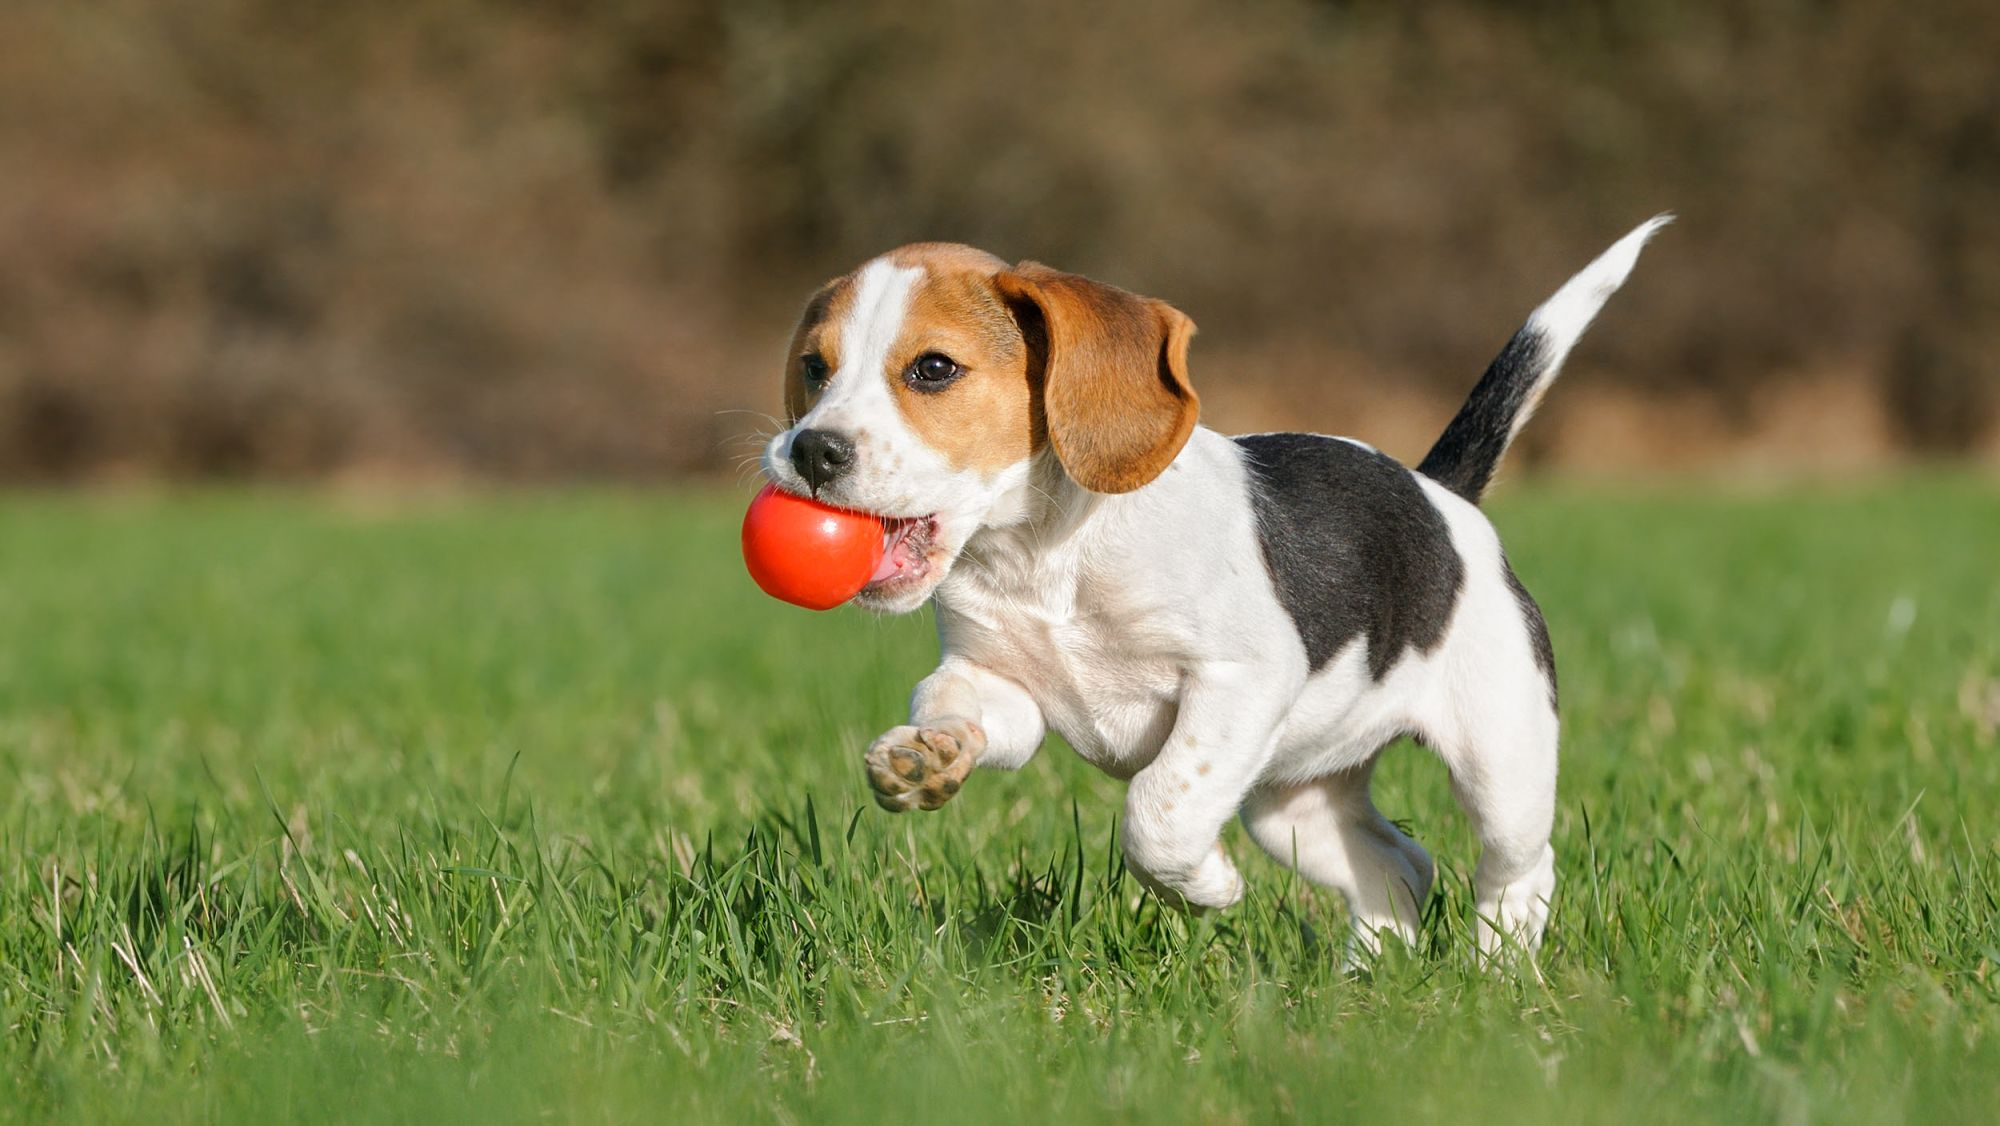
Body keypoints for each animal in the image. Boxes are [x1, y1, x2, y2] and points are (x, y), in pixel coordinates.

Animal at [756, 220, 1664, 960]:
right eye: (814, 367)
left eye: (934, 369)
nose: (810, 451)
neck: (1044, 556)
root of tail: (1440, 493)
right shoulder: (1000, 685)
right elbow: (955, 705)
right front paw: (926, 757)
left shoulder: (1238, 681)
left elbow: (1158, 813)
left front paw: (1209, 887)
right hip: (1294, 804)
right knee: (1400, 865)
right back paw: (1367, 980)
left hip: (1500, 762)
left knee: (1518, 870)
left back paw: (1496, 975)